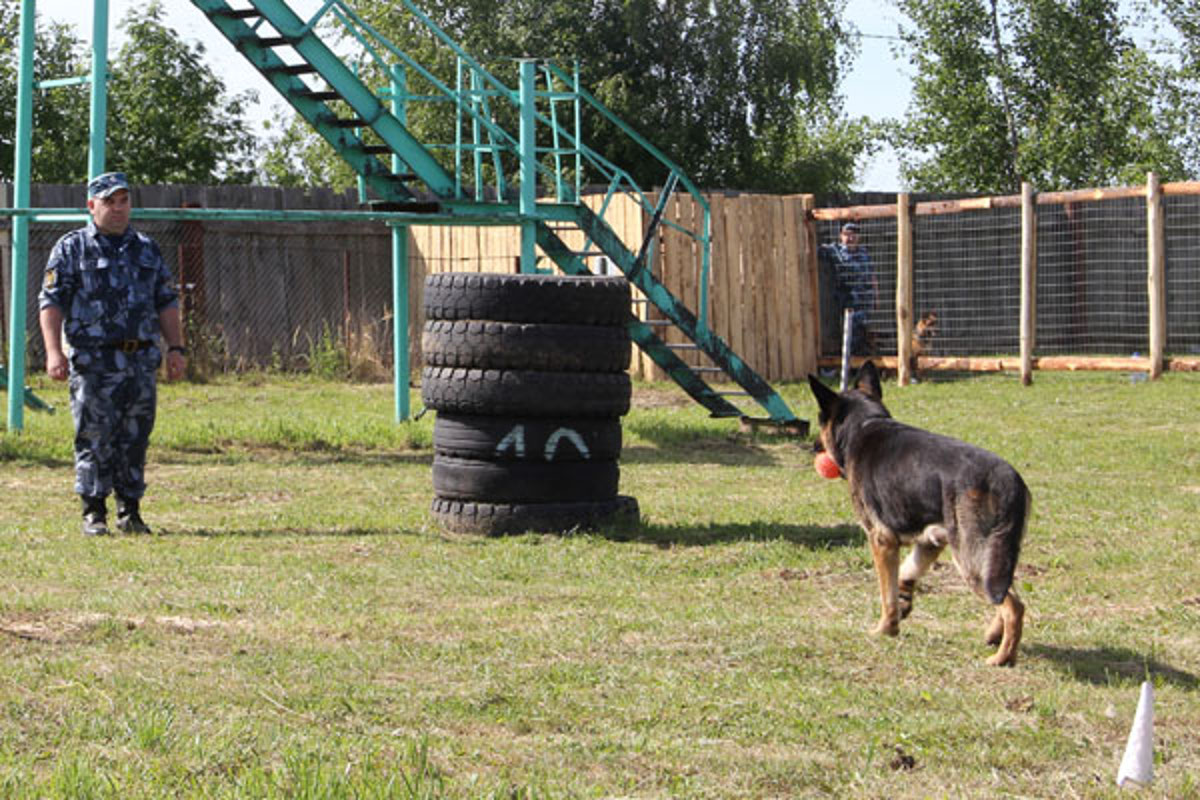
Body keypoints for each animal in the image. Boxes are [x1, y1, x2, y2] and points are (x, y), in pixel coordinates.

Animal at [811, 364, 1027, 671]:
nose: (814, 447)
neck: (864, 423)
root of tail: (1008, 481)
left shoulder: (881, 541)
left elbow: (886, 593)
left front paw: (885, 628)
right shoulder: (930, 541)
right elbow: (905, 572)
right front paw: (903, 603)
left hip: (971, 560)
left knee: (1014, 607)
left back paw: (1003, 657)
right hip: (993, 558)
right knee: (1007, 591)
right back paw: (994, 635)